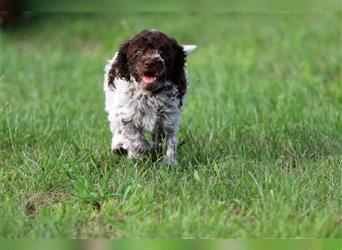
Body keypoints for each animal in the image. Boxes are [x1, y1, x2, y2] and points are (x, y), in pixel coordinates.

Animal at [103, 29, 196, 165]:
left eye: (163, 52)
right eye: (138, 51)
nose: (150, 63)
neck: (149, 94)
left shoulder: (168, 117)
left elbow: (166, 140)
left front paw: (168, 162)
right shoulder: (126, 114)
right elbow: (135, 137)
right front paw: (139, 153)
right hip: (112, 103)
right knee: (116, 127)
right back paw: (119, 146)